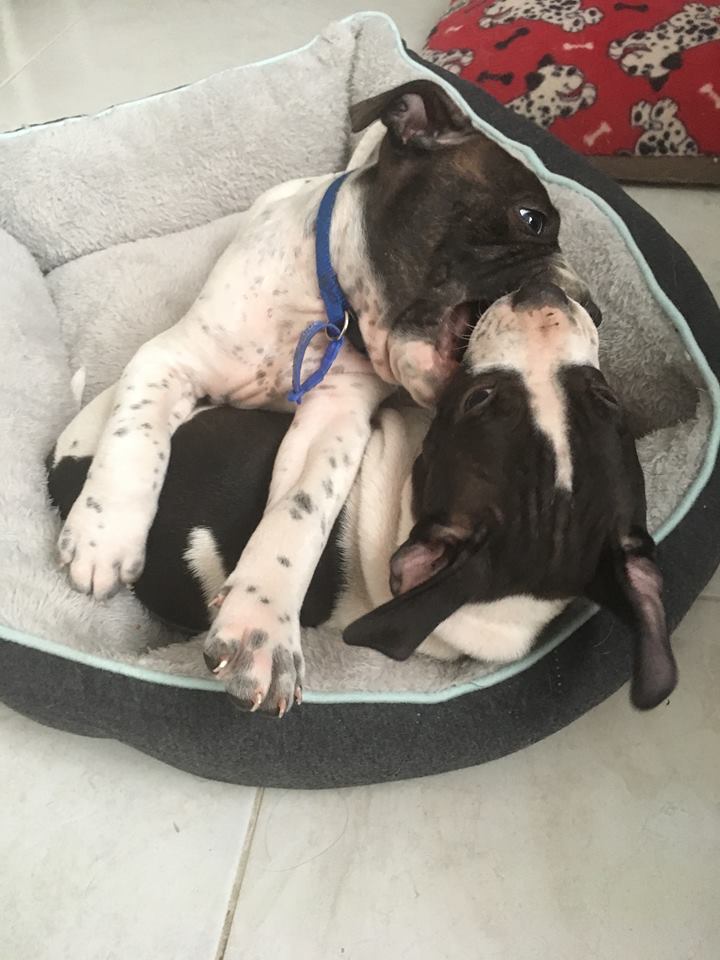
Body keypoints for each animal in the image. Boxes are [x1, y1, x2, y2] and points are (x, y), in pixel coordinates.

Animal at [55, 79, 600, 716]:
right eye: (532, 219)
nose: (592, 307)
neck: (326, 309)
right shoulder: (170, 357)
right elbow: (135, 436)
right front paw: (104, 535)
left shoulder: (333, 422)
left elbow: (298, 513)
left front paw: (261, 625)